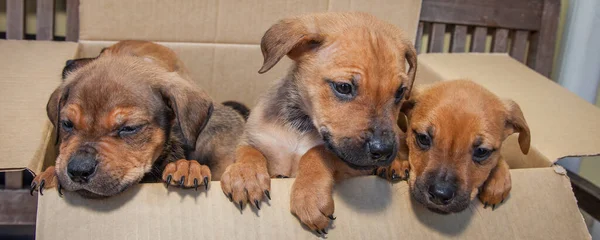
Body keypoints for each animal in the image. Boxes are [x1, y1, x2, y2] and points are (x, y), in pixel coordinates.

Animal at [220, 12, 418, 233]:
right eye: (343, 87)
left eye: (400, 91)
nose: (383, 151)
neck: (301, 126)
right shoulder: (253, 138)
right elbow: (249, 153)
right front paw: (245, 176)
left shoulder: (354, 167)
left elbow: (318, 151)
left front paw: (309, 195)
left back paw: (395, 165)